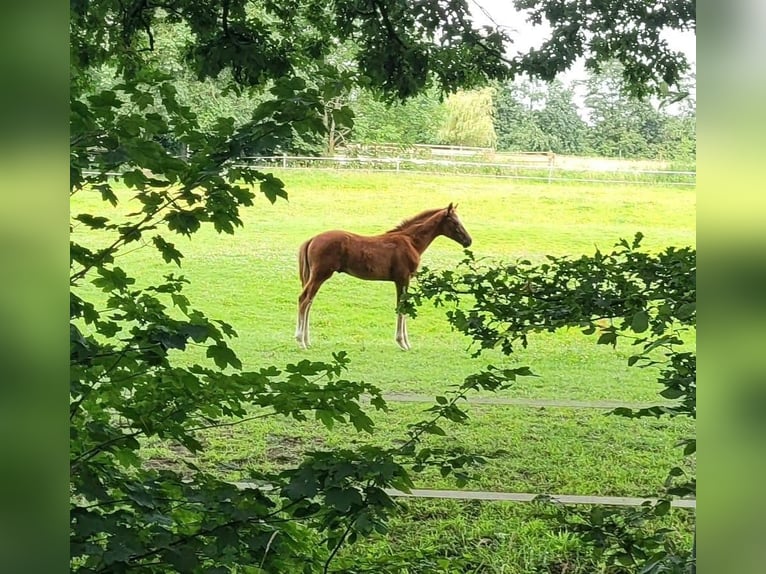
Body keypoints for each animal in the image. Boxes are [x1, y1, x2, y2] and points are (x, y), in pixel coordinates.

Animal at [296, 205, 472, 354]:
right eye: (455, 221)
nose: (468, 241)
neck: (411, 241)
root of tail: (312, 239)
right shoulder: (402, 279)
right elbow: (402, 307)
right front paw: (403, 343)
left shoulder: (403, 280)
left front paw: (405, 342)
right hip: (320, 275)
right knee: (304, 299)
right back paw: (301, 341)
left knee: (309, 301)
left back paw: (307, 340)